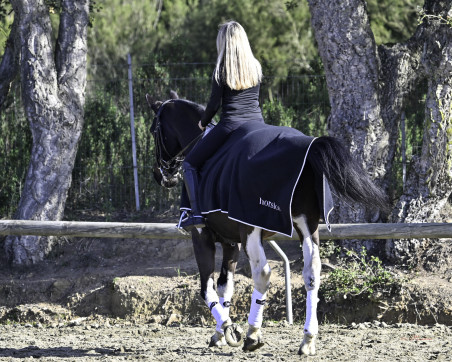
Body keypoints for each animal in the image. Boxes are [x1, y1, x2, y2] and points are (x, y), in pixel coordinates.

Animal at [146, 91, 388, 356]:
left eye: (154, 129)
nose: (160, 175)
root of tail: (309, 146)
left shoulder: (201, 235)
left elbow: (207, 288)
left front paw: (229, 329)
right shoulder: (231, 242)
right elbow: (225, 288)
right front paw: (220, 333)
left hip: (252, 230)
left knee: (262, 274)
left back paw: (253, 334)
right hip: (307, 225)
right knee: (312, 273)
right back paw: (307, 340)